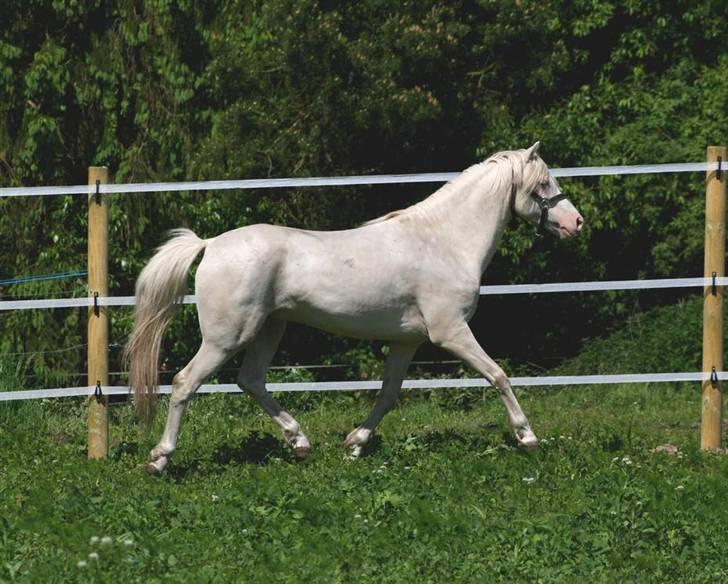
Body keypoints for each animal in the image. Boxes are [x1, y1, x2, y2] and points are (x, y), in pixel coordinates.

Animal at [124, 142, 584, 473]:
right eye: (544, 185)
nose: (575, 223)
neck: (443, 242)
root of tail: (211, 244)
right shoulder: (450, 331)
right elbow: (498, 375)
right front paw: (527, 438)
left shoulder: (407, 342)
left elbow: (388, 394)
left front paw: (355, 444)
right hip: (226, 337)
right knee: (185, 382)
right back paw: (159, 459)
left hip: (269, 328)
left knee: (251, 381)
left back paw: (300, 443)